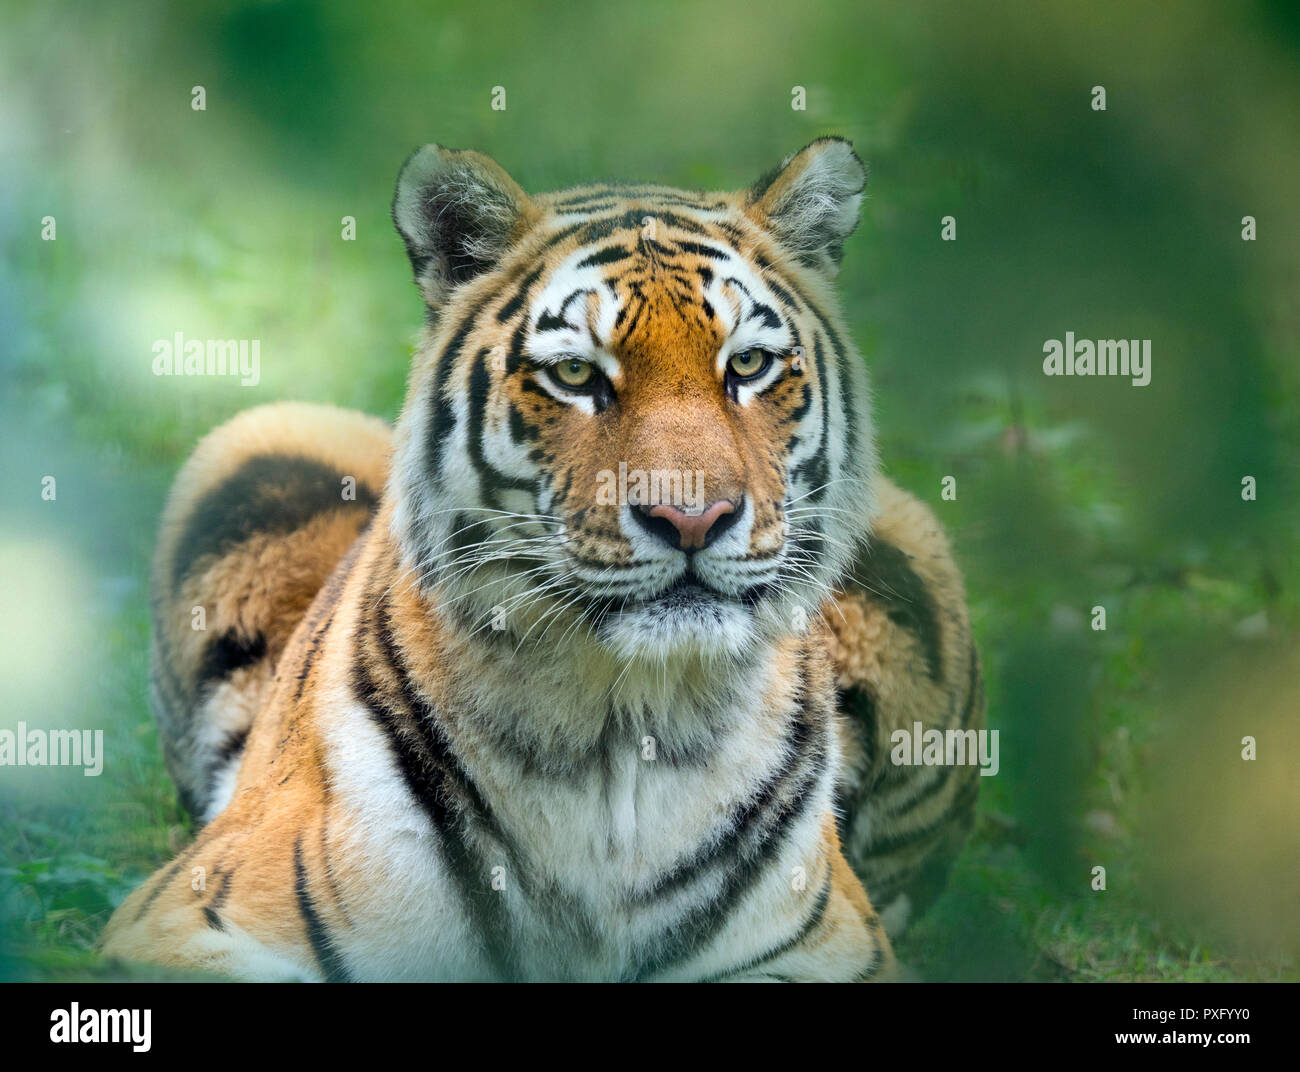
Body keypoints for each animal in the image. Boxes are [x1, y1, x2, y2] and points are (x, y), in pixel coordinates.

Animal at [99, 137, 984, 982]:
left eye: (748, 364)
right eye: (576, 374)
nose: (691, 518)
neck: (623, 730)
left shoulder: (828, 945)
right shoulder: (189, 915)